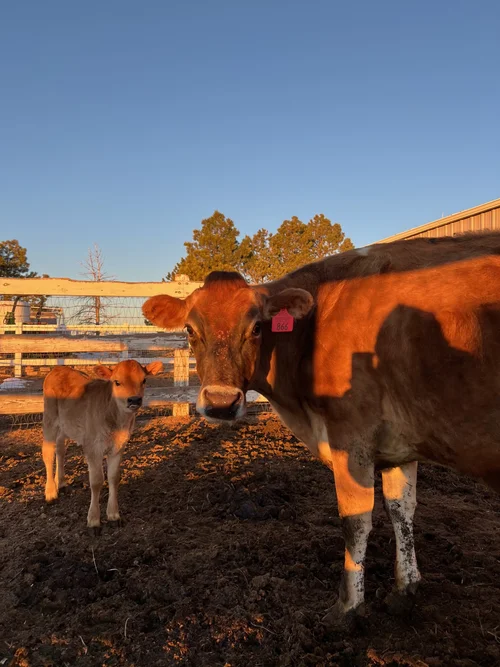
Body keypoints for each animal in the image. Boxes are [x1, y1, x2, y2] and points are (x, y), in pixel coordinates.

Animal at [42, 359, 163, 532]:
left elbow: (113, 477)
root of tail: (58, 368)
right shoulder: (93, 447)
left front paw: (113, 515)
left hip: (66, 425)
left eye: (144, 380)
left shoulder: (119, 446)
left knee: (60, 449)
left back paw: (62, 483)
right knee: (48, 452)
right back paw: (51, 492)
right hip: (49, 419)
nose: (134, 400)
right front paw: (93, 519)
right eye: (117, 382)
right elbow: (97, 480)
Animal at [143, 231, 500, 626]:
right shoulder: (400, 444)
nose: (221, 402)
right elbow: (401, 508)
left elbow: (355, 520)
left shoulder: (351, 434)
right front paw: (405, 590)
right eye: (190, 329)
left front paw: (347, 607)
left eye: (256, 327)